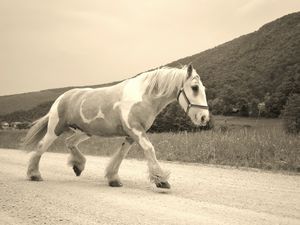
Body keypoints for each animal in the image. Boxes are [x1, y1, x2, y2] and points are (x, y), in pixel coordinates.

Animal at [24, 64, 209, 189]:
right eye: (194, 87)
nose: (204, 117)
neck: (144, 96)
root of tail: (61, 98)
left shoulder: (130, 135)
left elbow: (120, 155)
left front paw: (113, 179)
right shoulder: (136, 130)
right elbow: (149, 149)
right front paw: (162, 180)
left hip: (85, 132)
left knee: (69, 142)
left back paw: (78, 166)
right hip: (54, 129)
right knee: (41, 147)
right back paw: (34, 174)